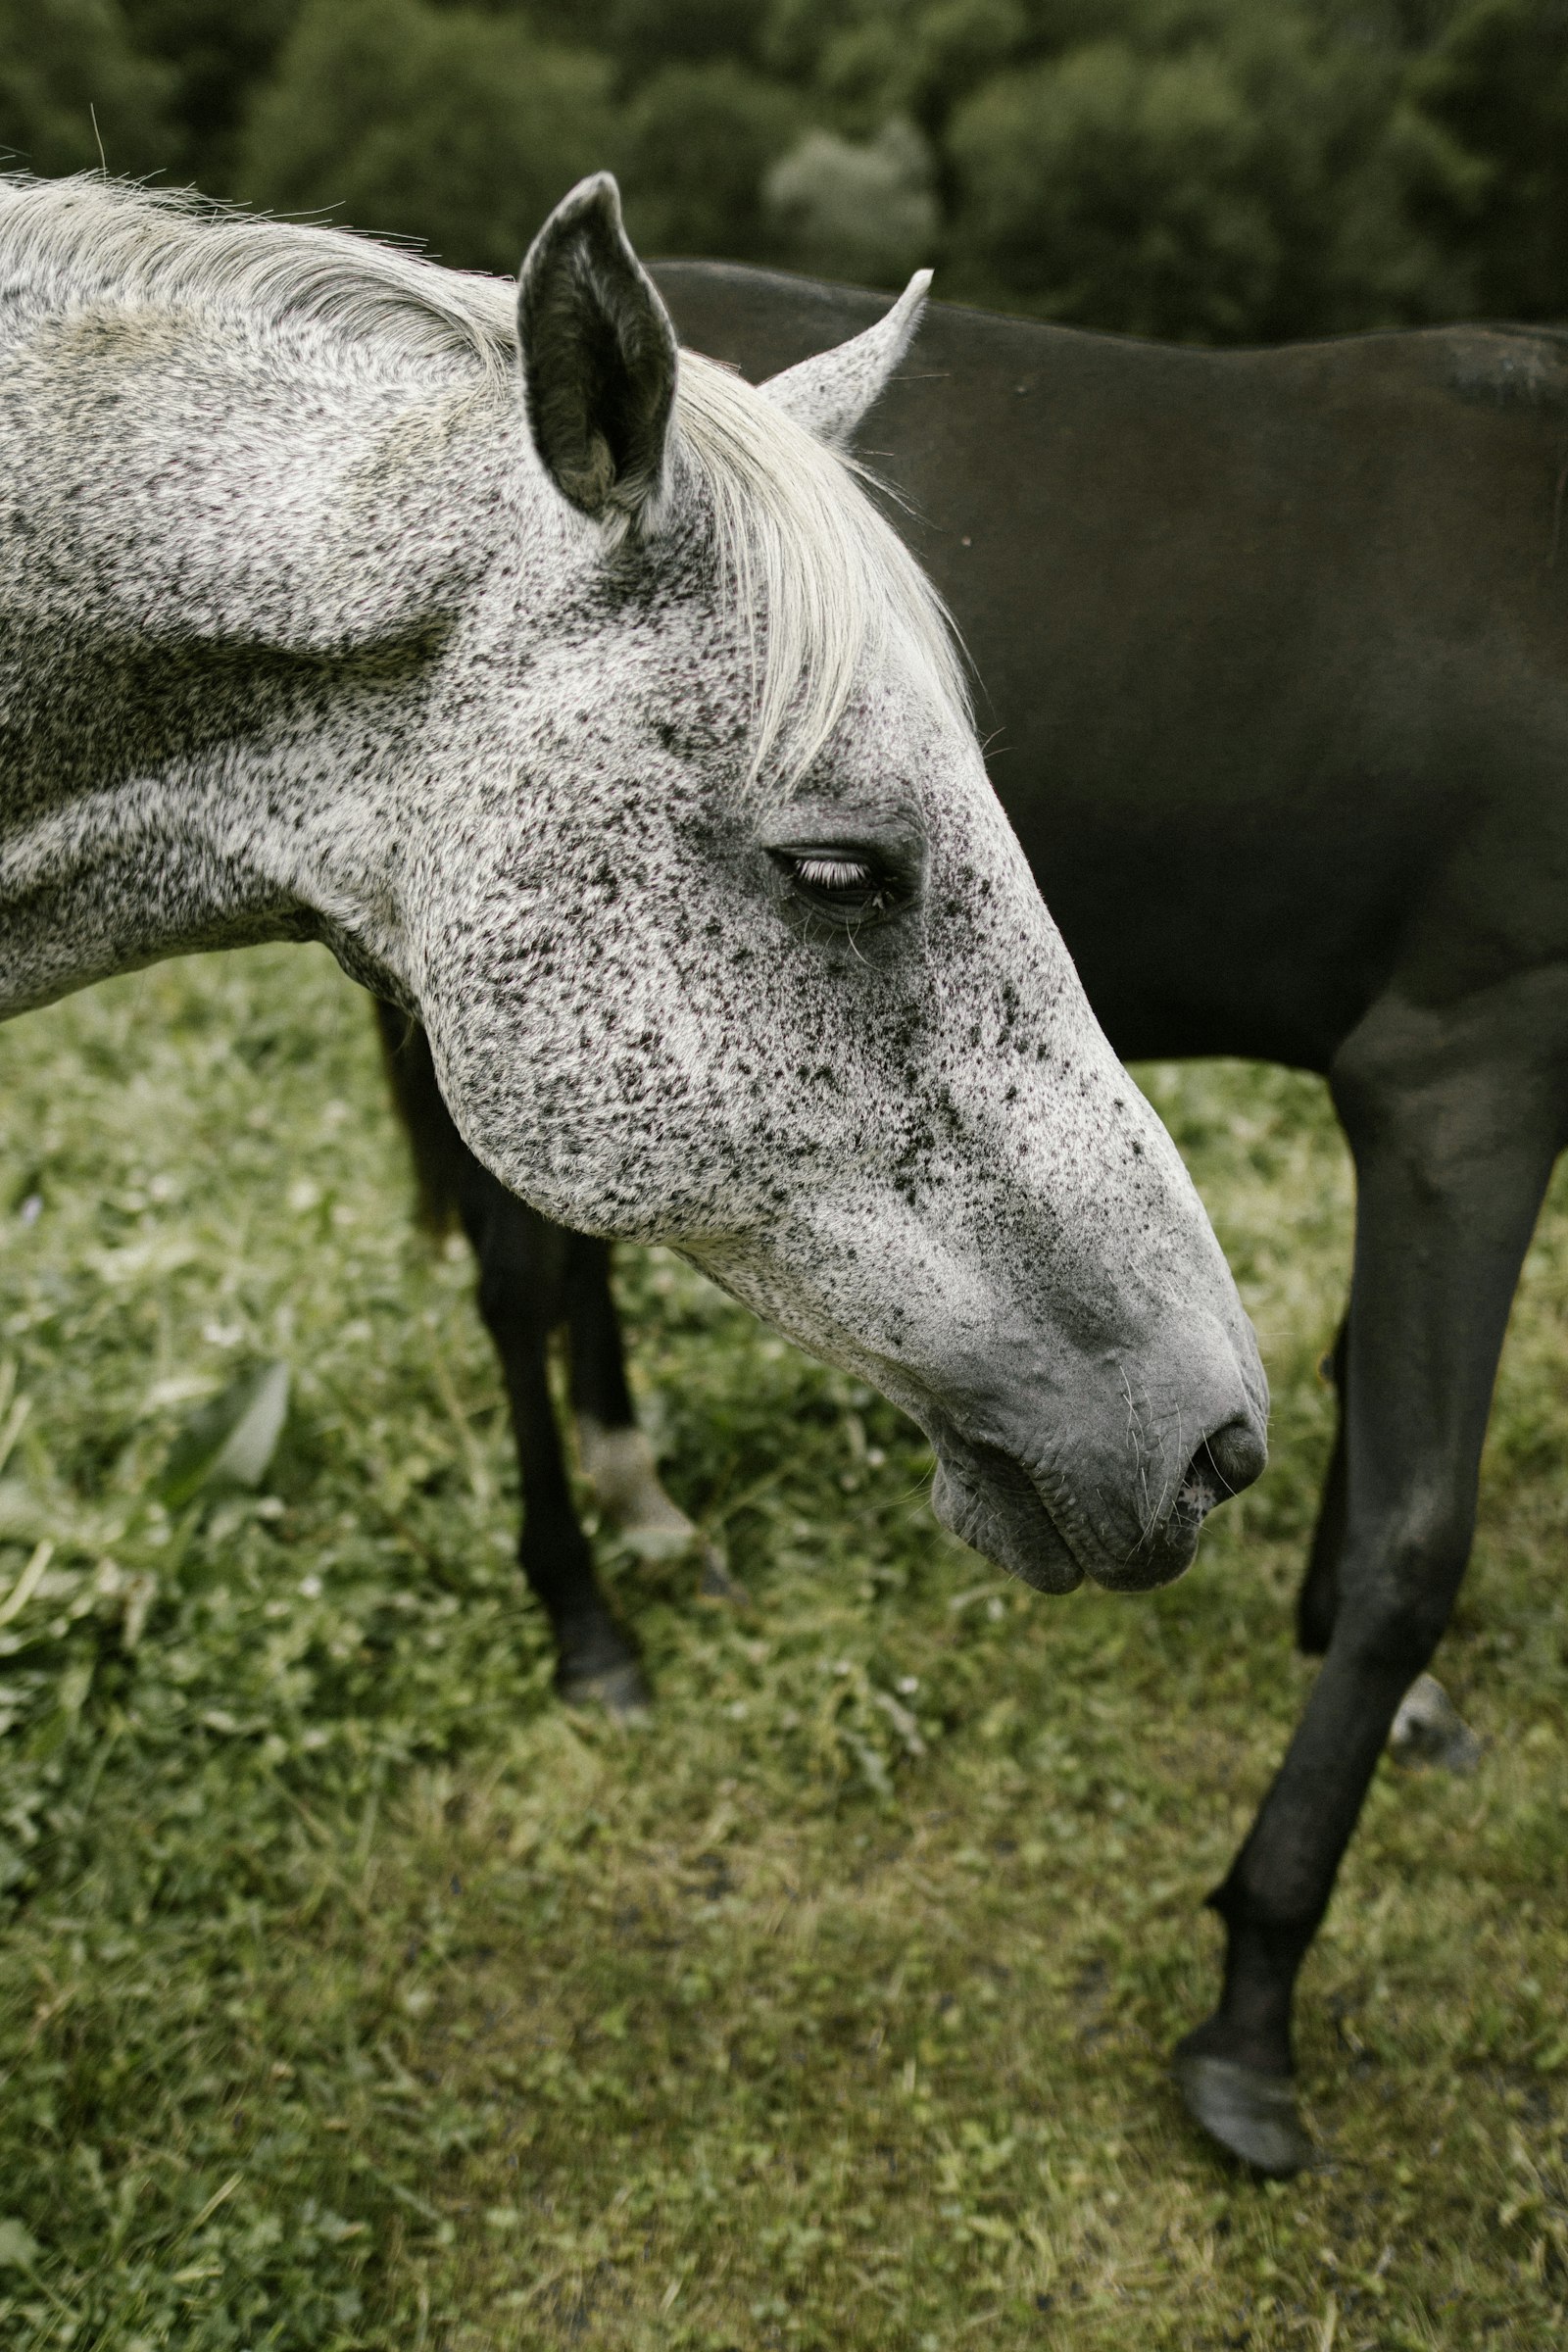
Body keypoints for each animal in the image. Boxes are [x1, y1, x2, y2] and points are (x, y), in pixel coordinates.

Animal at [380, 267, 1568, 2173]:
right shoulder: (1467, 1074)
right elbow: (1416, 1538)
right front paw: (1253, 2011)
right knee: (519, 1284)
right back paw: (588, 1621)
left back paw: (645, 1513)